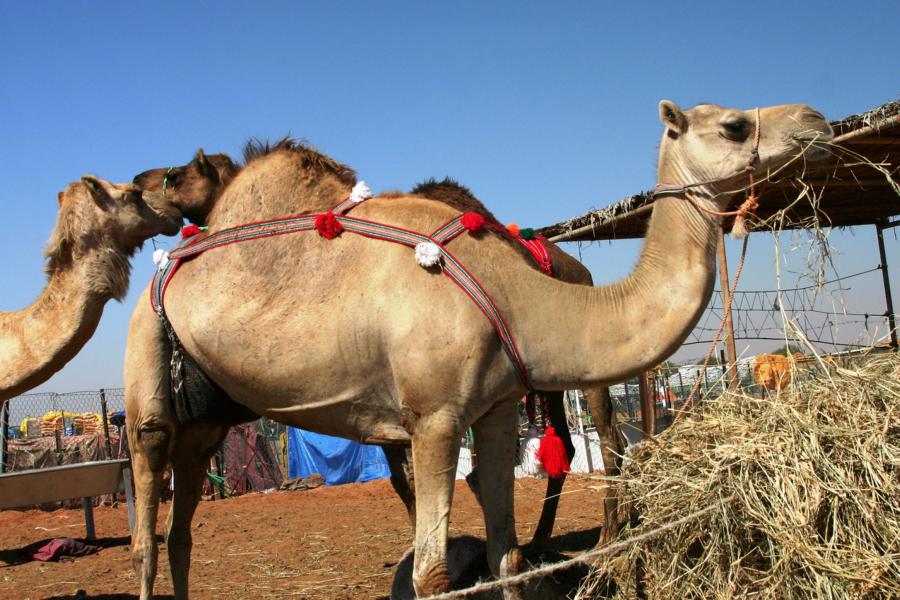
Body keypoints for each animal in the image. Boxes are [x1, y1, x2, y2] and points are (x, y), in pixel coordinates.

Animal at [125, 101, 828, 596]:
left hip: (210, 420)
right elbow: (432, 573)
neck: (522, 297)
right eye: (734, 125)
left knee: (182, 530)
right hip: (147, 365)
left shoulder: (493, 411)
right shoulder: (433, 418)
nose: (815, 120)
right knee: (146, 532)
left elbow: (505, 554)